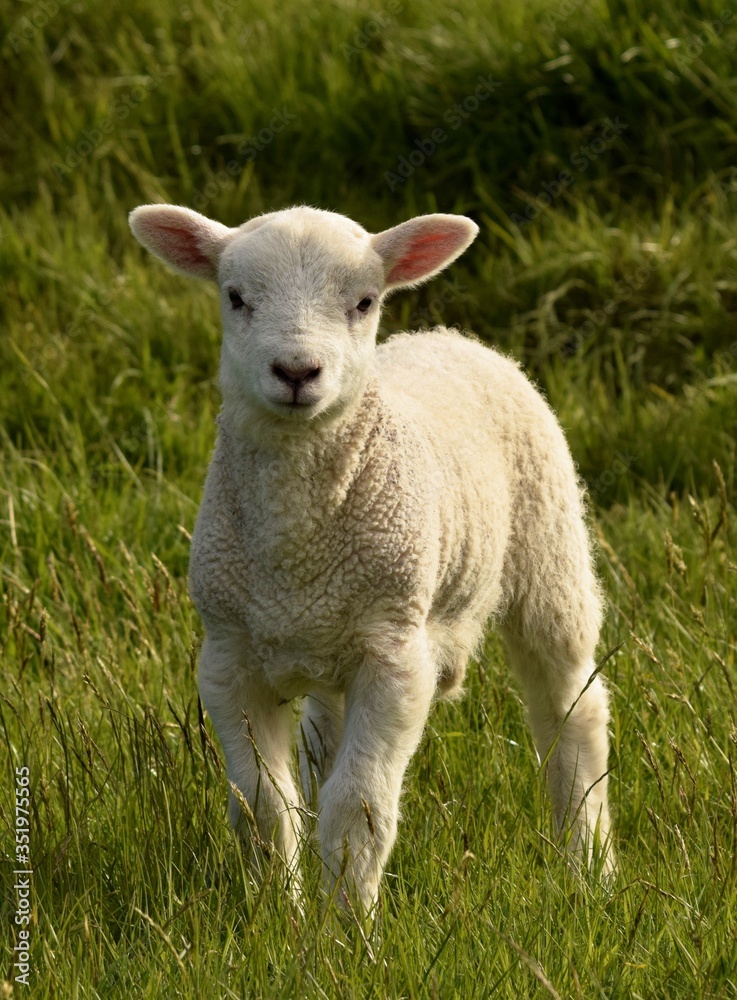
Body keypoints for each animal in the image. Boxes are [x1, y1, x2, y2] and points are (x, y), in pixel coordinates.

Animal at [129, 203, 612, 916]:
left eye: (363, 302)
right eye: (235, 297)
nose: (296, 372)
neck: (297, 546)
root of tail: (450, 336)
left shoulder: (394, 656)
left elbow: (357, 808)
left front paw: (348, 927)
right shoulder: (228, 656)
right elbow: (264, 806)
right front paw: (278, 914)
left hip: (548, 553)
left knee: (571, 709)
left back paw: (590, 868)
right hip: (333, 643)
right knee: (321, 739)